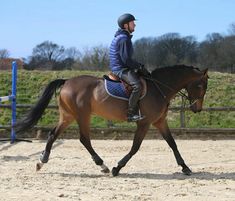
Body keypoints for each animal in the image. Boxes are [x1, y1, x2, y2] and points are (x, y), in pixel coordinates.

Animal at [14, 65, 207, 176]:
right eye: (200, 86)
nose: (197, 109)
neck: (158, 87)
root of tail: (67, 81)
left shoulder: (160, 122)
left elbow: (173, 143)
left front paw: (185, 167)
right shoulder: (144, 123)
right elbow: (135, 147)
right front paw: (117, 168)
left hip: (68, 116)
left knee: (53, 135)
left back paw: (41, 161)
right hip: (82, 116)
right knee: (84, 139)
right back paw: (104, 166)